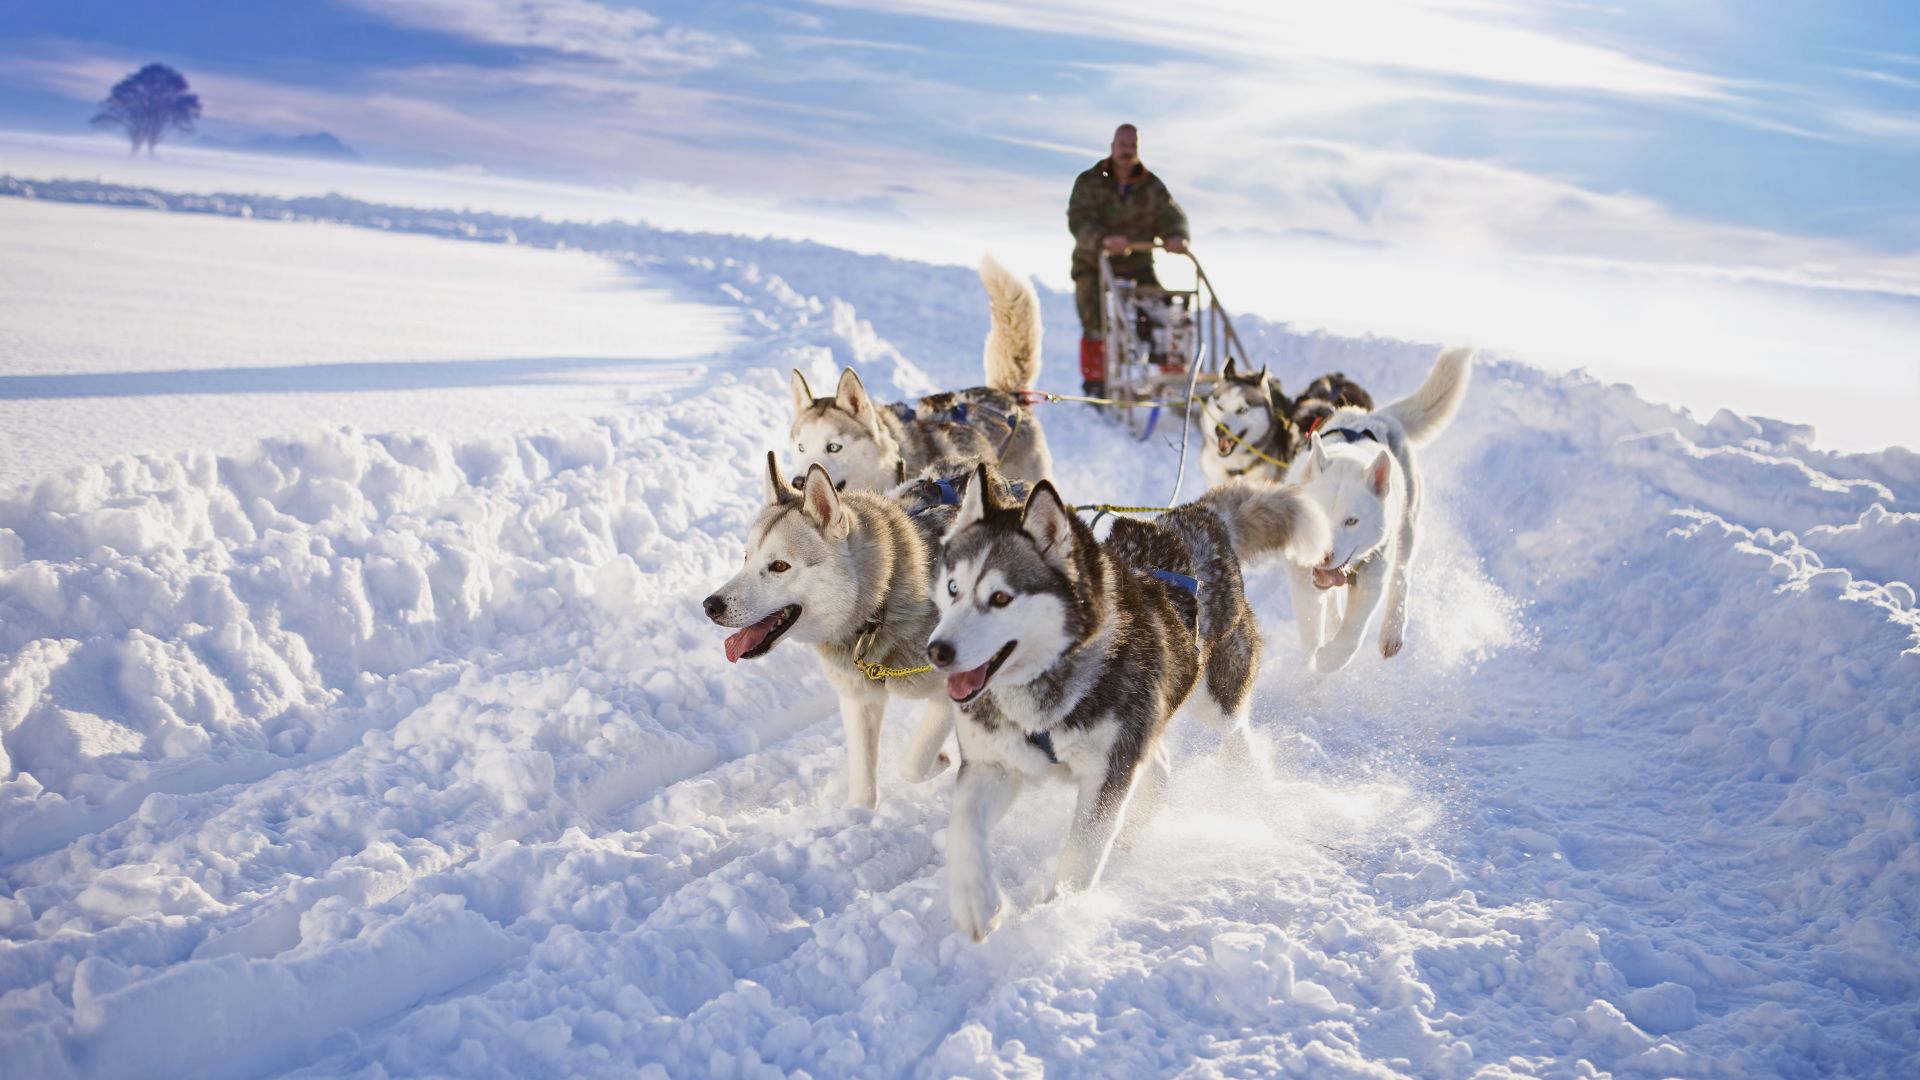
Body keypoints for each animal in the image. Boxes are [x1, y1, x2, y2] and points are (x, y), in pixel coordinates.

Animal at [702, 449, 1029, 803]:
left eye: (778, 566)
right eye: (746, 557)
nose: (711, 606)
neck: (880, 608)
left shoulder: (953, 693)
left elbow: (912, 765)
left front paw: (941, 761)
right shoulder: (859, 701)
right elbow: (864, 785)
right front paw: (858, 810)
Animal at [929, 461, 1336, 933]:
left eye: (1000, 597)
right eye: (953, 588)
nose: (937, 651)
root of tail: (1193, 517)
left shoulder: (1109, 772)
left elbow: (1080, 857)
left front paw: (1056, 917)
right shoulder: (993, 763)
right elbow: (963, 827)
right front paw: (976, 903)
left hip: (1212, 695)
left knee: (1234, 727)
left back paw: (1246, 776)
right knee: (1158, 761)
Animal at [1282, 343, 1474, 668]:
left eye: (1352, 521)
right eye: (1318, 515)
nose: (1322, 555)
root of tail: (1378, 416)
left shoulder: (1370, 581)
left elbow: (1349, 639)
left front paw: (1328, 659)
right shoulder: (1302, 575)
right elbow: (1310, 628)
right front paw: (1311, 659)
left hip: (1406, 527)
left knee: (1401, 577)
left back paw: (1391, 631)